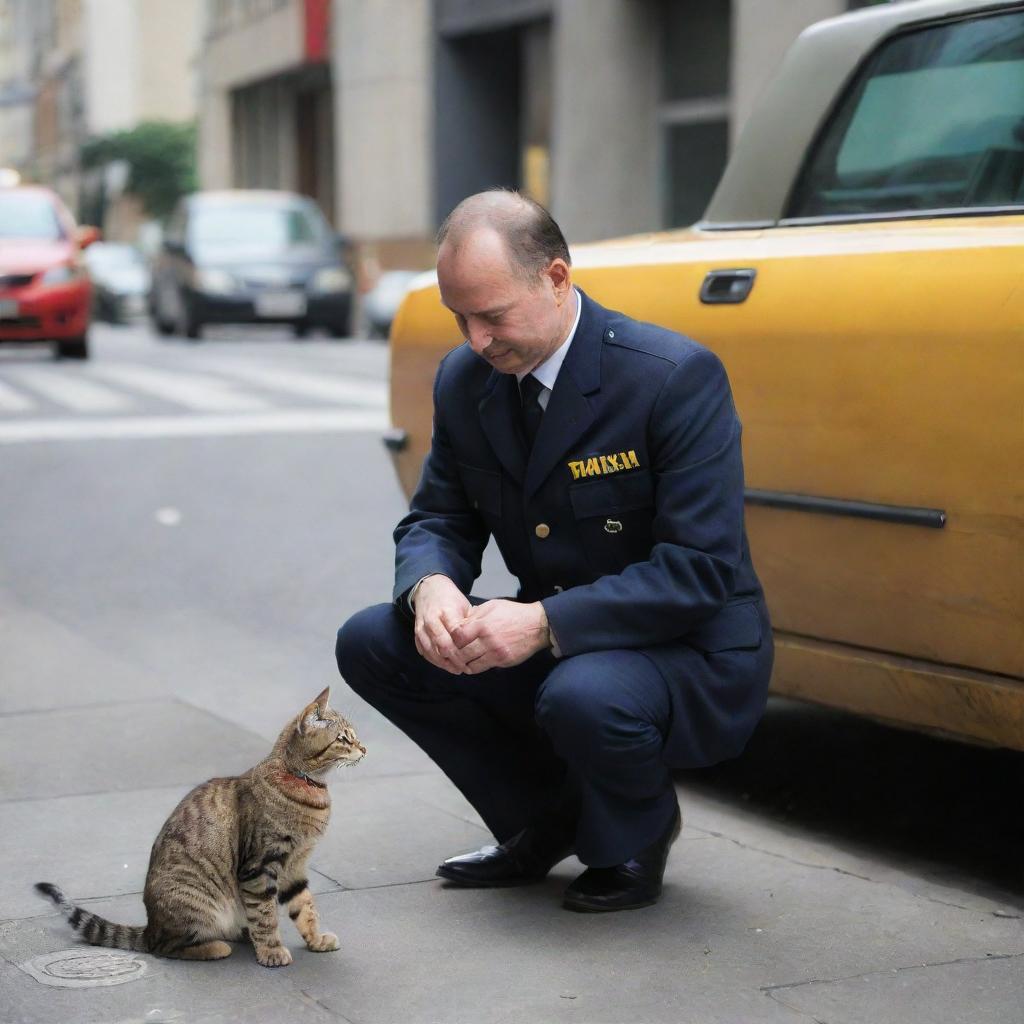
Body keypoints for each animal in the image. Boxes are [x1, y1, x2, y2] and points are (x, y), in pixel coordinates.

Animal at [36, 688, 364, 966]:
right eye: (343, 739)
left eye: (354, 736)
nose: (364, 748)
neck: (305, 784)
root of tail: (150, 926)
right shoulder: (260, 866)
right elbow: (266, 915)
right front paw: (271, 951)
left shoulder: (294, 866)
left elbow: (304, 906)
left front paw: (315, 939)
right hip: (196, 902)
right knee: (165, 947)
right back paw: (215, 947)